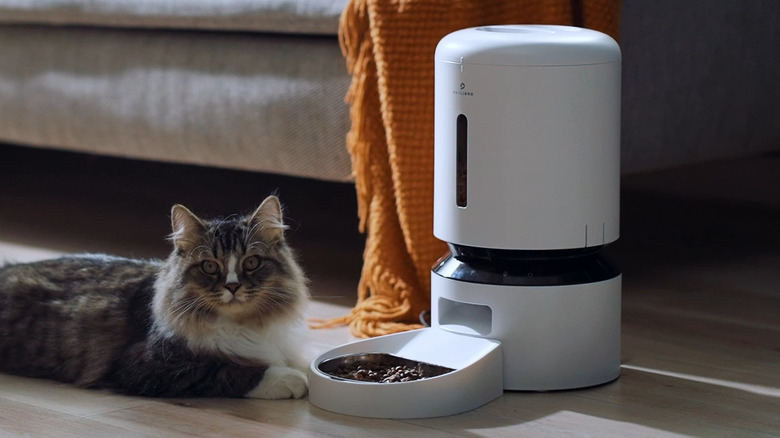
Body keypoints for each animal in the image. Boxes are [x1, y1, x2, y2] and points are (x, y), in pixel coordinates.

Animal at [0, 197, 310, 398]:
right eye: (210, 267)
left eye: (251, 263)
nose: (232, 286)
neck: (246, 325)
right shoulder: (146, 366)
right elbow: (228, 369)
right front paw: (290, 379)